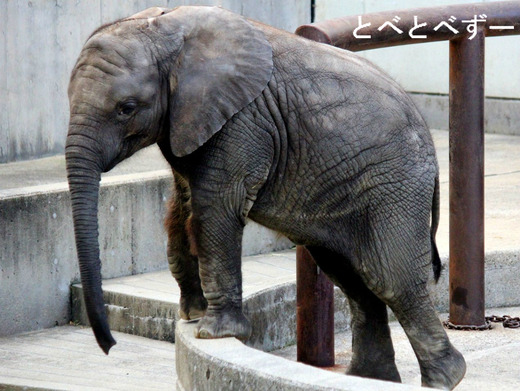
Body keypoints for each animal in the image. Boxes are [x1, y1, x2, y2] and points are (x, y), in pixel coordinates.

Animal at [67, 4, 466, 390]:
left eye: (127, 108)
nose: (109, 346)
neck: (165, 30)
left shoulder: (242, 123)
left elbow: (216, 210)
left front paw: (214, 332)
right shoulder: (188, 122)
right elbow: (182, 208)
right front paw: (193, 314)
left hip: (395, 185)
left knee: (391, 278)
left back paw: (445, 379)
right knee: (354, 280)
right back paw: (366, 378)